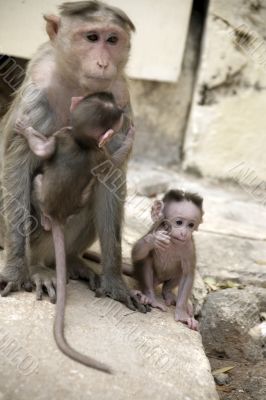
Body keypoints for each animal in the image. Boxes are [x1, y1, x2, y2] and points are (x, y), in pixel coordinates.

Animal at [0, 0, 145, 312]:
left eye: (112, 39)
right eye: (91, 37)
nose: (103, 63)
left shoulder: (121, 98)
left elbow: (110, 175)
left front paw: (115, 280)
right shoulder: (37, 93)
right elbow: (17, 166)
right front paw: (16, 269)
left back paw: (72, 261)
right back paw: (37, 267)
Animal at [15, 91, 135, 376]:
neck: (81, 141)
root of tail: (57, 215)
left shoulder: (65, 136)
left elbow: (44, 150)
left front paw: (25, 130)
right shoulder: (85, 145)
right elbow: (111, 163)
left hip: (46, 197)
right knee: (92, 188)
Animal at [131, 190, 204, 332]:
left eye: (191, 225)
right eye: (179, 222)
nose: (184, 233)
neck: (174, 242)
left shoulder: (188, 246)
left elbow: (188, 273)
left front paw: (181, 313)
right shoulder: (158, 228)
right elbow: (136, 254)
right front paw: (153, 240)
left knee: (179, 271)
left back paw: (168, 292)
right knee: (146, 259)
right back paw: (148, 297)